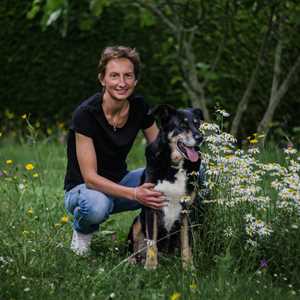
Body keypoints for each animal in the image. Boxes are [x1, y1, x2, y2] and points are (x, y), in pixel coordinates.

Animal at [127, 105, 204, 270]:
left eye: (197, 124)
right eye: (182, 125)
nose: (200, 137)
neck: (174, 165)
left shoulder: (186, 210)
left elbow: (186, 243)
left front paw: (188, 267)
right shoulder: (151, 206)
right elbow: (152, 242)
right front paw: (150, 267)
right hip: (137, 222)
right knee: (133, 248)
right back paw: (133, 261)